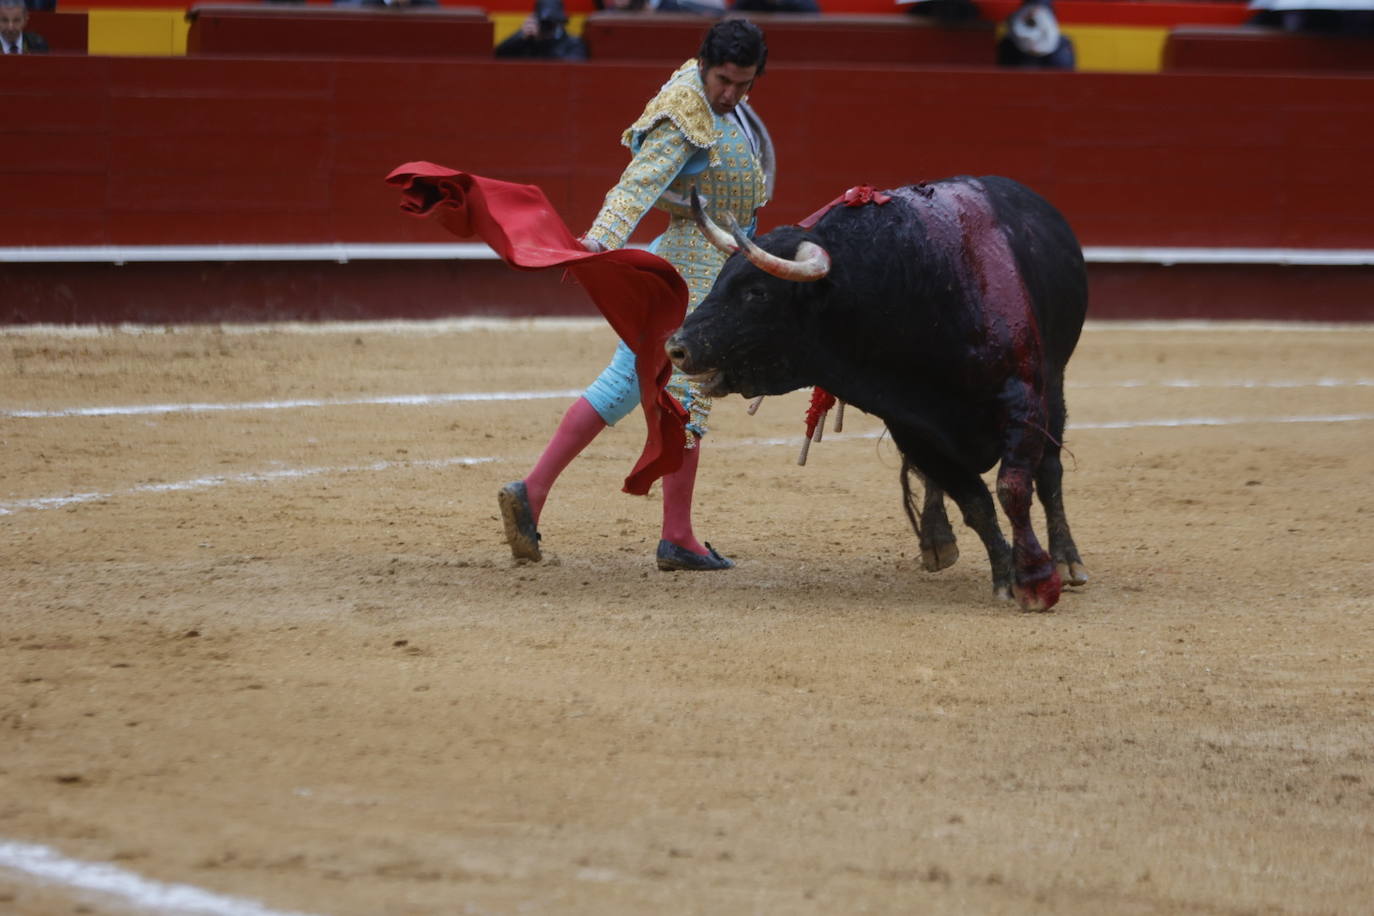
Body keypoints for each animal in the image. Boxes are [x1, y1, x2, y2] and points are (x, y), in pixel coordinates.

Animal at [670, 175, 1088, 612]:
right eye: (721, 279)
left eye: (757, 293)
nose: (677, 347)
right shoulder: (912, 425)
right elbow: (973, 501)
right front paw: (1005, 575)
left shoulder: (1023, 399)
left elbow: (1013, 487)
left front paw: (1037, 582)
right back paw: (936, 542)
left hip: (1054, 384)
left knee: (1050, 469)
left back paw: (1067, 561)